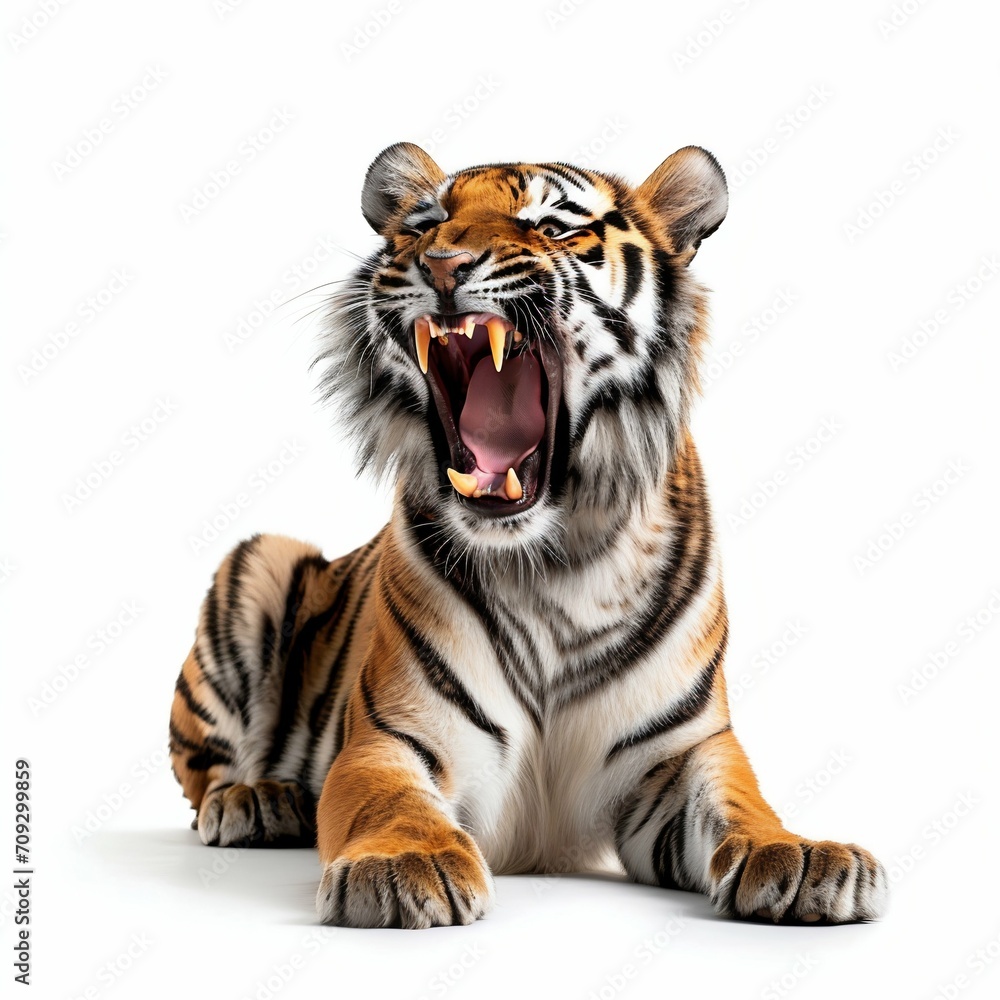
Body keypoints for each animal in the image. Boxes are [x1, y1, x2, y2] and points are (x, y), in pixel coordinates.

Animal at [169, 142, 888, 929]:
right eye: (424, 224)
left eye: (550, 225)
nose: (442, 263)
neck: (552, 562)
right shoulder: (391, 738)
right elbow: (386, 802)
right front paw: (403, 865)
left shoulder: (685, 752)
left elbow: (743, 803)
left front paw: (803, 855)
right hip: (258, 560)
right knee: (203, 775)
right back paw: (256, 801)